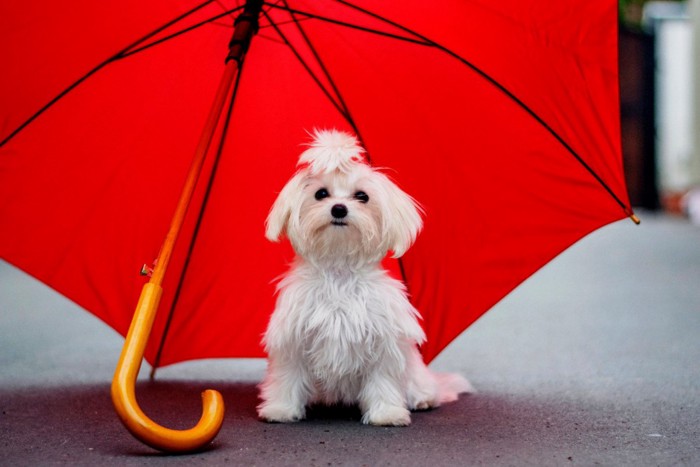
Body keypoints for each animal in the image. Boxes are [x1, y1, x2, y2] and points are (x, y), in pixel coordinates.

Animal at [256, 129, 470, 428]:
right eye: (321, 194)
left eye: (362, 196)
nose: (339, 209)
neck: (339, 271)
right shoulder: (293, 340)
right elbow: (288, 377)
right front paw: (281, 409)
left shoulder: (383, 342)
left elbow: (383, 380)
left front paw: (387, 413)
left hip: (415, 372)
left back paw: (424, 399)